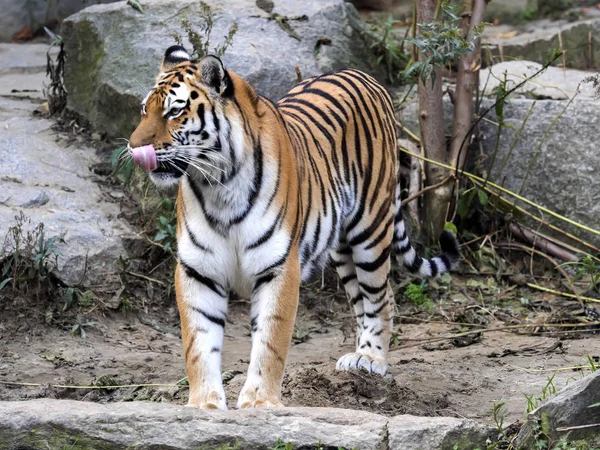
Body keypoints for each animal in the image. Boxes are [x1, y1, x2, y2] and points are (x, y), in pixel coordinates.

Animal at [130, 45, 460, 412]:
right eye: (144, 110)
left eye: (174, 112)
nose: (133, 147)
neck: (218, 185)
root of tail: (364, 75)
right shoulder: (197, 269)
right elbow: (198, 344)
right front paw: (204, 404)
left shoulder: (278, 266)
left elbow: (270, 342)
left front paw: (260, 402)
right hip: (342, 248)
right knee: (363, 298)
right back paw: (357, 360)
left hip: (370, 231)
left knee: (381, 295)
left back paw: (371, 359)